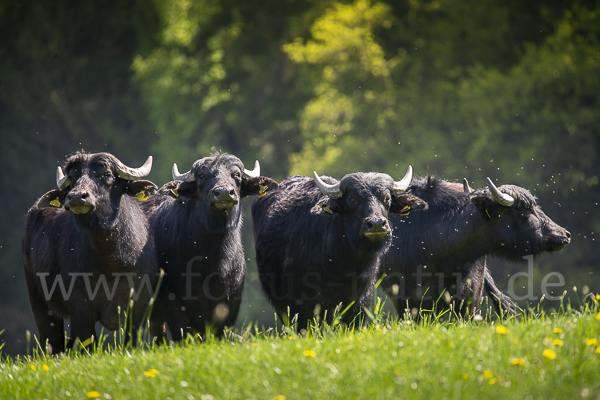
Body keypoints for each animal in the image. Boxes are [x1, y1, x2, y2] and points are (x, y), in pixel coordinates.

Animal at [22, 152, 161, 354]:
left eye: (106, 174)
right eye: (72, 178)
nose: (76, 196)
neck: (112, 263)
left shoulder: (140, 305)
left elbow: (132, 341)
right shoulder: (80, 307)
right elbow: (88, 343)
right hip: (39, 302)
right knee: (52, 342)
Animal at [251, 166, 428, 332]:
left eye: (387, 198)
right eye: (352, 199)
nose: (377, 224)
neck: (342, 267)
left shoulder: (359, 302)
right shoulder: (303, 305)